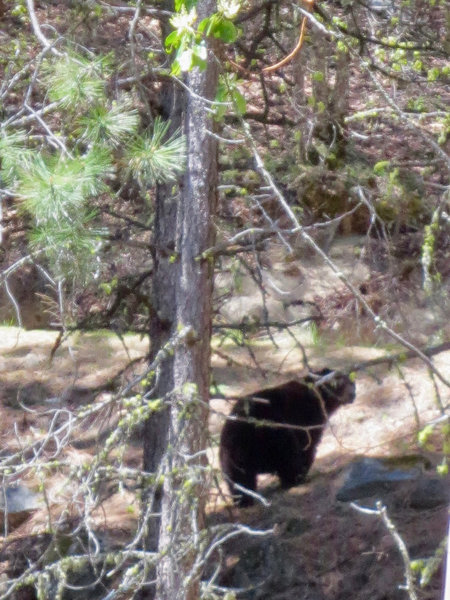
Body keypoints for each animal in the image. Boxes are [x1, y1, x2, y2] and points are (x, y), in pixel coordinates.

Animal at [219, 368, 356, 504]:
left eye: (351, 382)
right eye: (342, 383)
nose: (353, 393)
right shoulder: (306, 416)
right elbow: (308, 444)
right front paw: (304, 469)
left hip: (231, 454)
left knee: (239, 478)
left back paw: (243, 499)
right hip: (271, 431)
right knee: (288, 453)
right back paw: (295, 478)